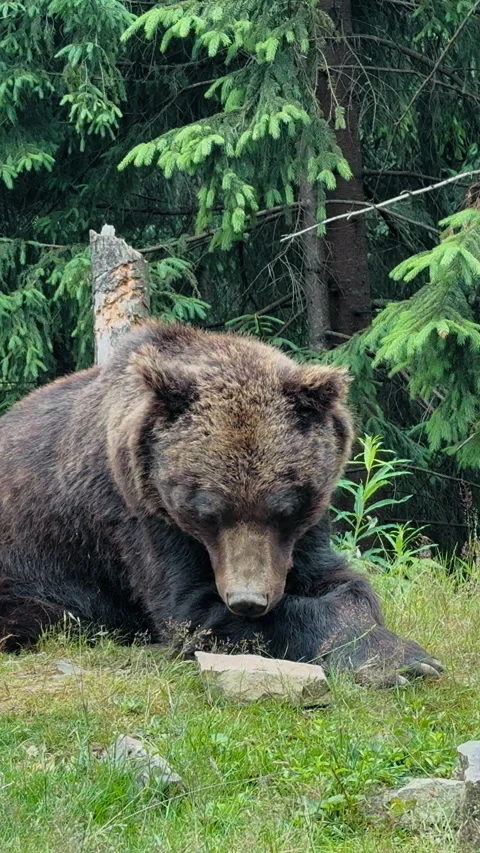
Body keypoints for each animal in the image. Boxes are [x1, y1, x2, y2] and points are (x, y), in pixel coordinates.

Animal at [0, 320, 441, 684]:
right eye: (208, 511)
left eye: (285, 508)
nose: (248, 600)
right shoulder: (139, 514)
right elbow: (193, 609)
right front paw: (399, 661)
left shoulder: (306, 530)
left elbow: (342, 583)